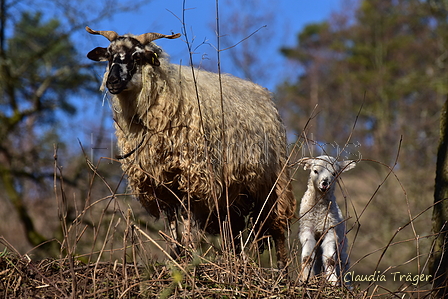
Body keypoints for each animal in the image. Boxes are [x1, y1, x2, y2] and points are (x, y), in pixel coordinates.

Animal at [86, 27, 298, 268]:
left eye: (137, 57)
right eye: (109, 56)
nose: (112, 82)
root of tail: (265, 96)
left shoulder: (189, 173)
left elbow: (185, 215)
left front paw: (188, 253)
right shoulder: (160, 181)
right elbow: (170, 219)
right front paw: (175, 255)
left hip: (273, 181)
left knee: (278, 228)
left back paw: (282, 269)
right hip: (234, 192)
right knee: (233, 230)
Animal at [298, 157, 356, 286]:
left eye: (334, 173)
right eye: (315, 171)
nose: (325, 183)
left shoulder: (330, 230)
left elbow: (330, 259)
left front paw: (332, 281)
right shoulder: (307, 229)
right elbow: (307, 257)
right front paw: (305, 278)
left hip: (342, 252)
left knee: (343, 267)